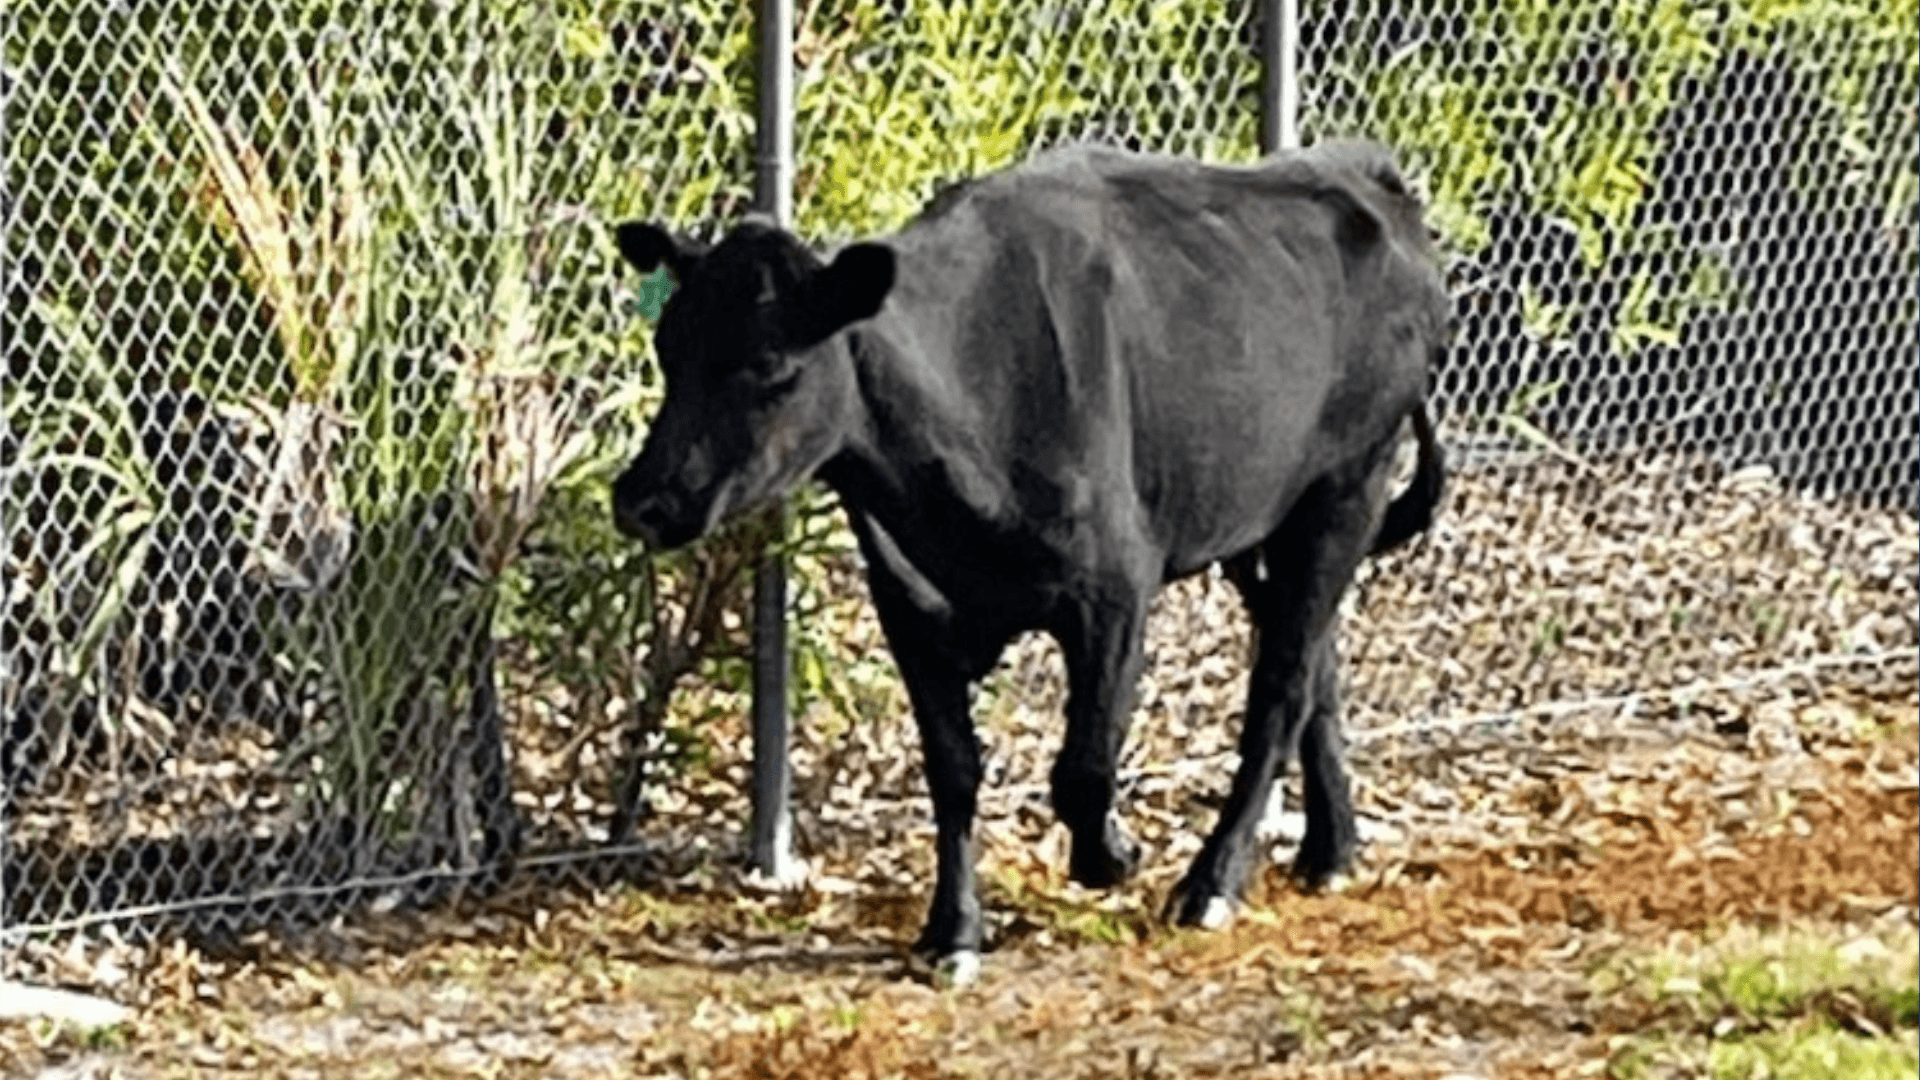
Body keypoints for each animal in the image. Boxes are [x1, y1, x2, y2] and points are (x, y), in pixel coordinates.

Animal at [610, 139, 1448, 983]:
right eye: (668, 348)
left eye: (773, 366)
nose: (644, 499)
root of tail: (1358, 168)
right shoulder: (907, 604)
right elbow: (953, 770)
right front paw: (953, 929)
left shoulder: (1114, 588)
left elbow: (1082, 769)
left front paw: (1112, 854)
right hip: (1255, 516)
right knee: (1313, 663)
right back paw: (1329, 851)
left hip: (1348, 481)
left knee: (1281, 683)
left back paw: (1212, 883)